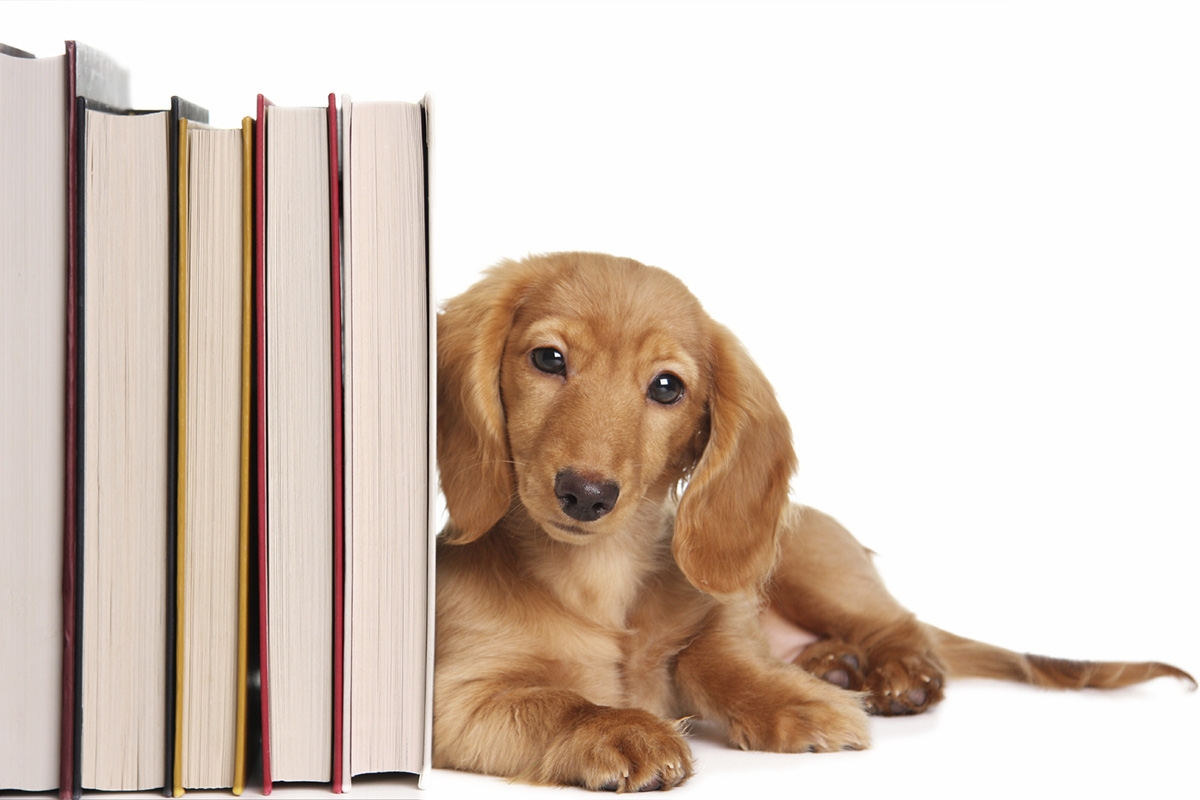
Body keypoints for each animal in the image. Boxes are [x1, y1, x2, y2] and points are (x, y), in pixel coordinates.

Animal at [432, 253, 1190, 791]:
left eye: (667, 387)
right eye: (548, 358)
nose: (586, 494)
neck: (598, 576)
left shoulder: (725, 614)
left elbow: (720, 658)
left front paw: (791, 703)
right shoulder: (454, 699)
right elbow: (559, 702)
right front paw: (622, 728)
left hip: (808, 564)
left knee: (908, 628)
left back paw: (892, 676)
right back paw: (833, 665)